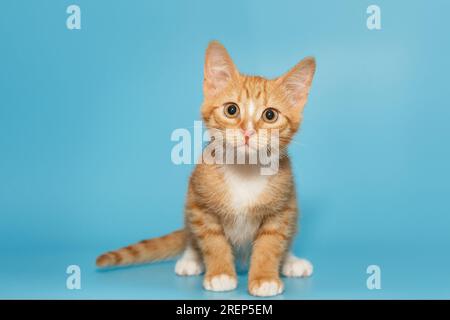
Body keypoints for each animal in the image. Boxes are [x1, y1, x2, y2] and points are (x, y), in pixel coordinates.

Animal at [96, 40, 316, 298]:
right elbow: (213, 242)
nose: (248, 132)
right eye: (231, 110)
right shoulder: (200, 205)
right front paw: (220, 274)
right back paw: (191, 259)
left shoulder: (281, 210)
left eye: (270, 115)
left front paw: (264, 278)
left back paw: (291, 261)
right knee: (192, 237)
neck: (244, 170)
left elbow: (271, 244)